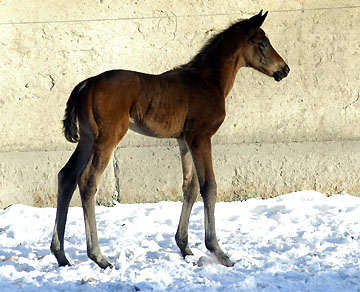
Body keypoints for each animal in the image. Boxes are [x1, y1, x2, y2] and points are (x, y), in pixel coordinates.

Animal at [50, 10, 288, 268]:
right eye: (262, 43)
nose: (284, 69)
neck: (207, 82)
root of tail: (85, 84)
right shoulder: (201, 136)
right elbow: (209, 186)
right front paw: (219, 252)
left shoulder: (184, 140)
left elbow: (190, 187)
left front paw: (185, 247)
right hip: (107, 137)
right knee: (87, 180)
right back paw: (99, 257)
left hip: (87, 139)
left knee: (66, 176)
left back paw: (61, 255)